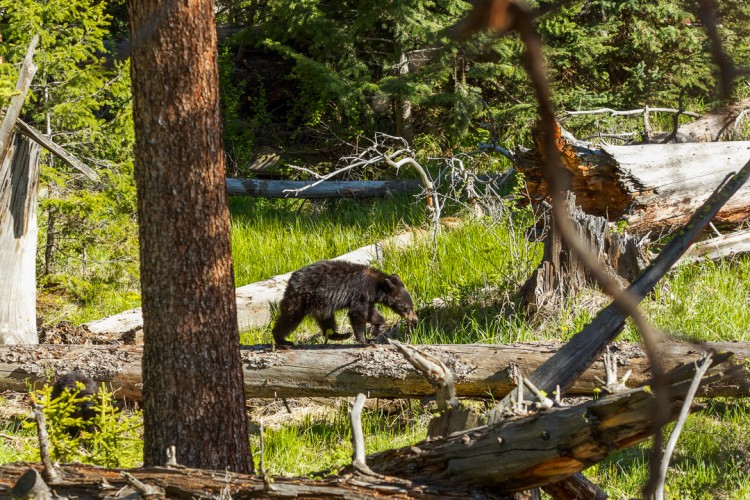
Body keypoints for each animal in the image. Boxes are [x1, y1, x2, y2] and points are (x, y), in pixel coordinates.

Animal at [274, 262, 420, 348]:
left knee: (326, 321)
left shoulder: (368, 299)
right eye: (406, 308)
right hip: (300, 298)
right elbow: (358, 313)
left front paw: (378, 328)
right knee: (290, 318)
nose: (415, 319)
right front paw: (366, 340)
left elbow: (371, 313)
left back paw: (341, 335)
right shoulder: (360, 292)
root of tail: (291, 279)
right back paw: (282, 340)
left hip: (320, 303)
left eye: (412, 306)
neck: (375, 285)